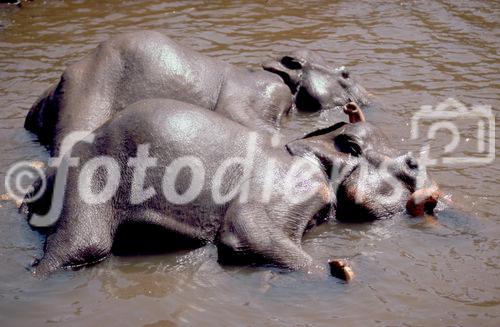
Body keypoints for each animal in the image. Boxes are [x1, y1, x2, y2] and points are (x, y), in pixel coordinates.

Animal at [23, 99, 438, 276]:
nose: (432, 195)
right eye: (411, 166)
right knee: (82, 247)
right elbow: (246, 233)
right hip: (88, 180)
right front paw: (343, 270)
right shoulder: (292, 183)